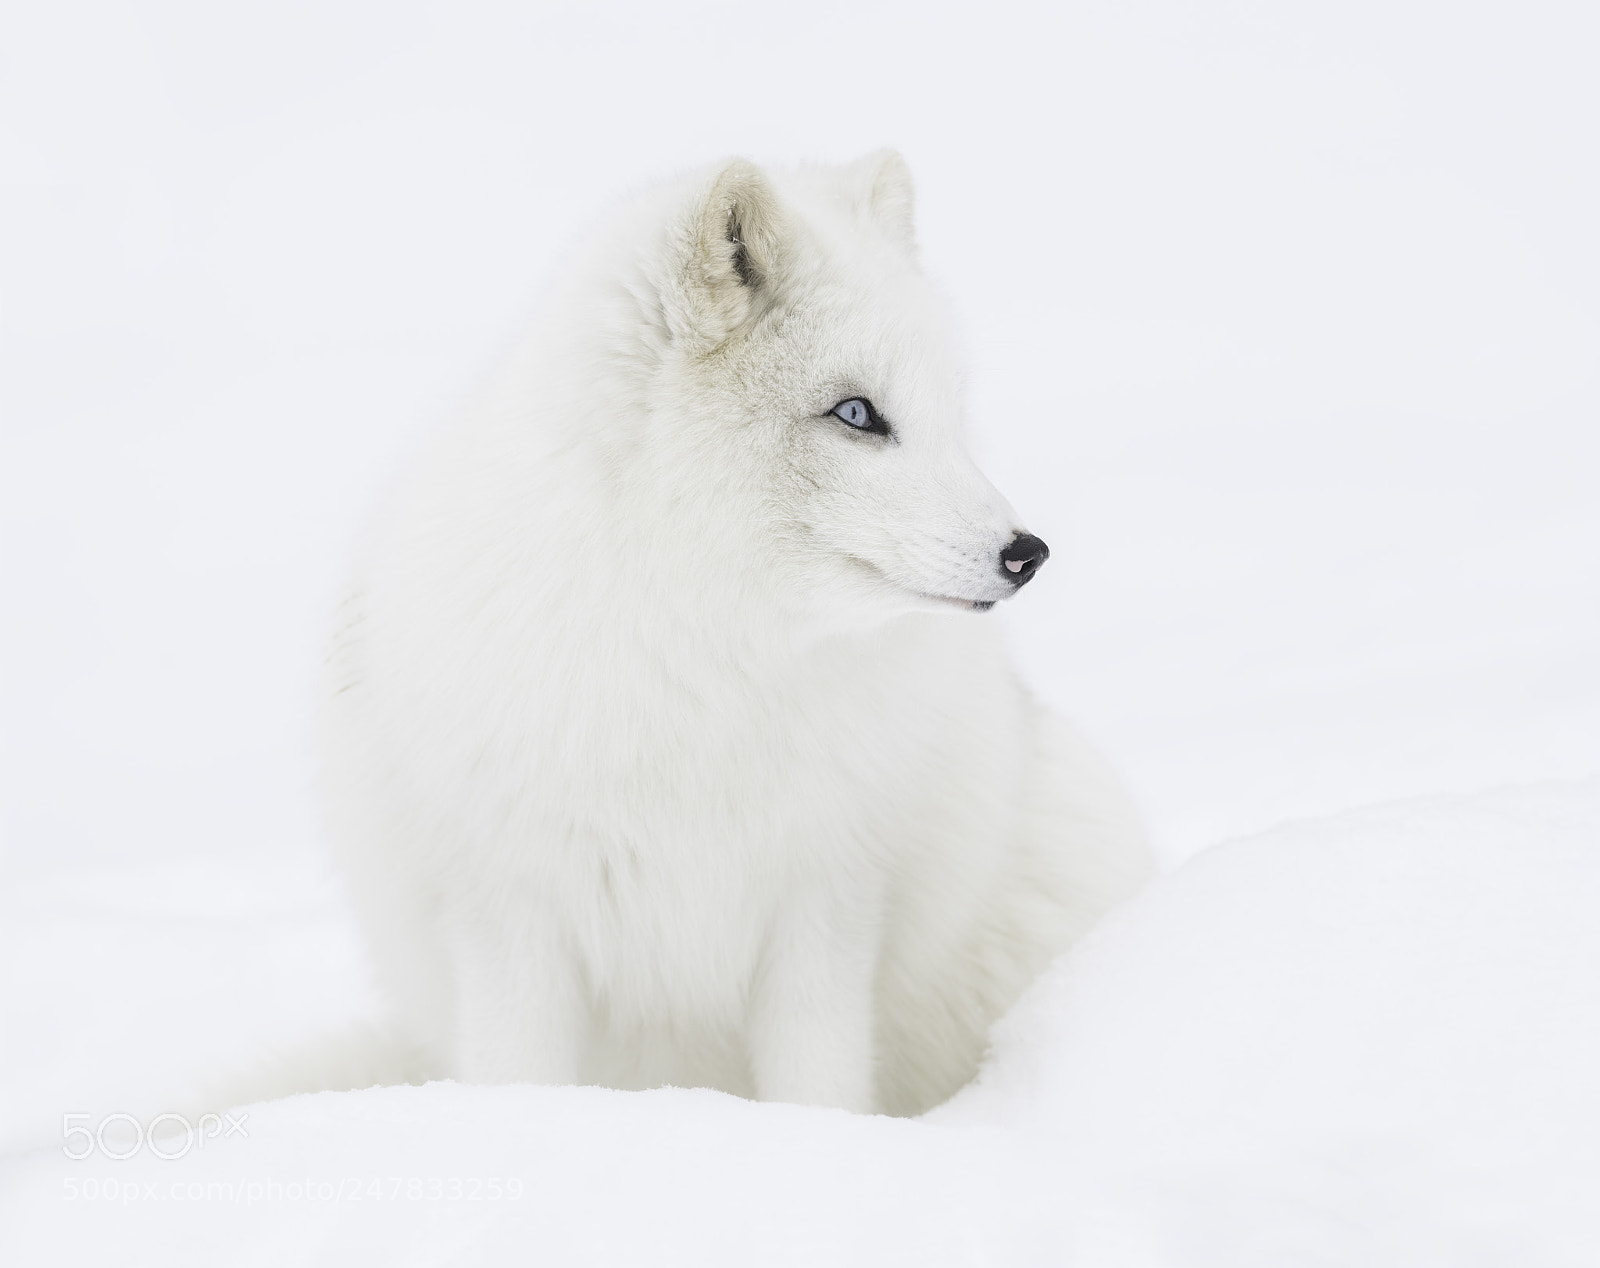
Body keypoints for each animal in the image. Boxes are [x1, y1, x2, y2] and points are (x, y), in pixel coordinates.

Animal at [319, 151, 1152, 1117]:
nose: (1028, 553)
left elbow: (819, 1082)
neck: (700, 655)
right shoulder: (508, 910)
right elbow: (516, 1072)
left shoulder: (826, 904)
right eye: (857, 414)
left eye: (948, 411)